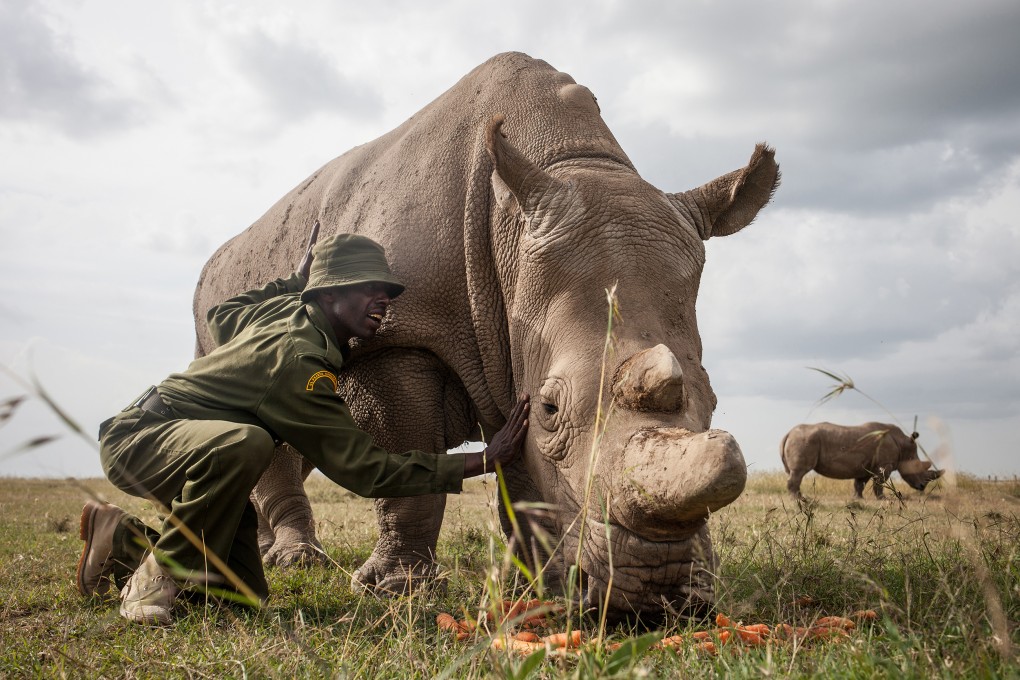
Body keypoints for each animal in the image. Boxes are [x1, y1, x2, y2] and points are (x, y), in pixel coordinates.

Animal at [192, 52, 779, 621]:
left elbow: (521, 482)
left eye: (713, 400)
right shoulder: (397, 337)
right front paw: (399, 591)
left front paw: (541, 586)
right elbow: (409, 461)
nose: (656, 595)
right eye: (551, 409)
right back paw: (294, 562)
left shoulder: (512, 350)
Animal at [781, 422, 944, 500]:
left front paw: (857, 499)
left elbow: (860, 484)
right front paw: (882, 499)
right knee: (799, 472)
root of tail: (788, 433)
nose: (922, 487)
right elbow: (879, 482)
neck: (903, 445)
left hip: (800, 439)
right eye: (917, 466)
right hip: (804, 440)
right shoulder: (884, 465)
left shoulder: (866, 466)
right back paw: (798, 499)